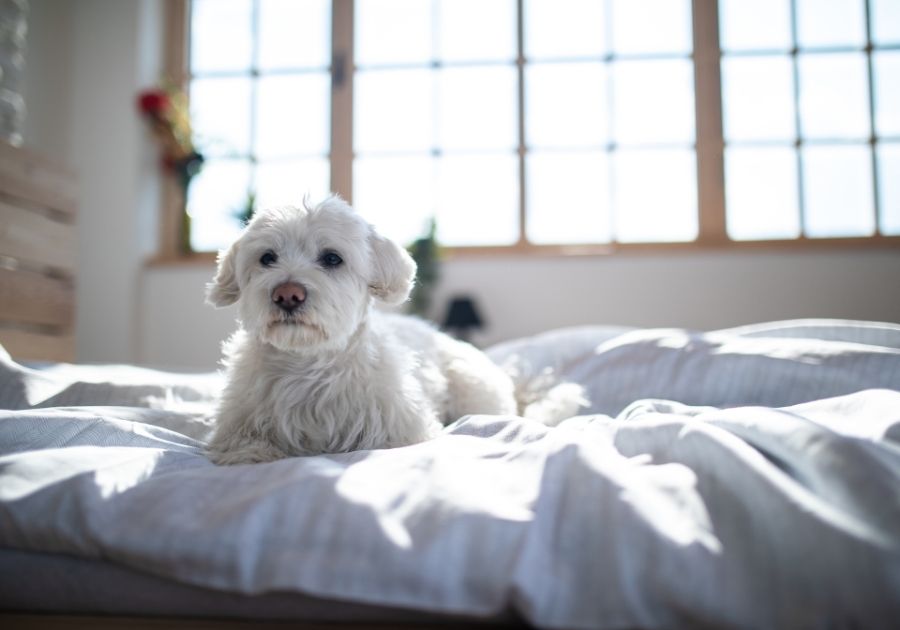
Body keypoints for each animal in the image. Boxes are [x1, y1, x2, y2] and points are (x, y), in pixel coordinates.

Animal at [202, 195, 520, 466]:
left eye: (332, 258)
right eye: (267, 258)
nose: (287, 294)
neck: (307, 362)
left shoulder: (404, 430)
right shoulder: (237, 426)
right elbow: (247, 448)